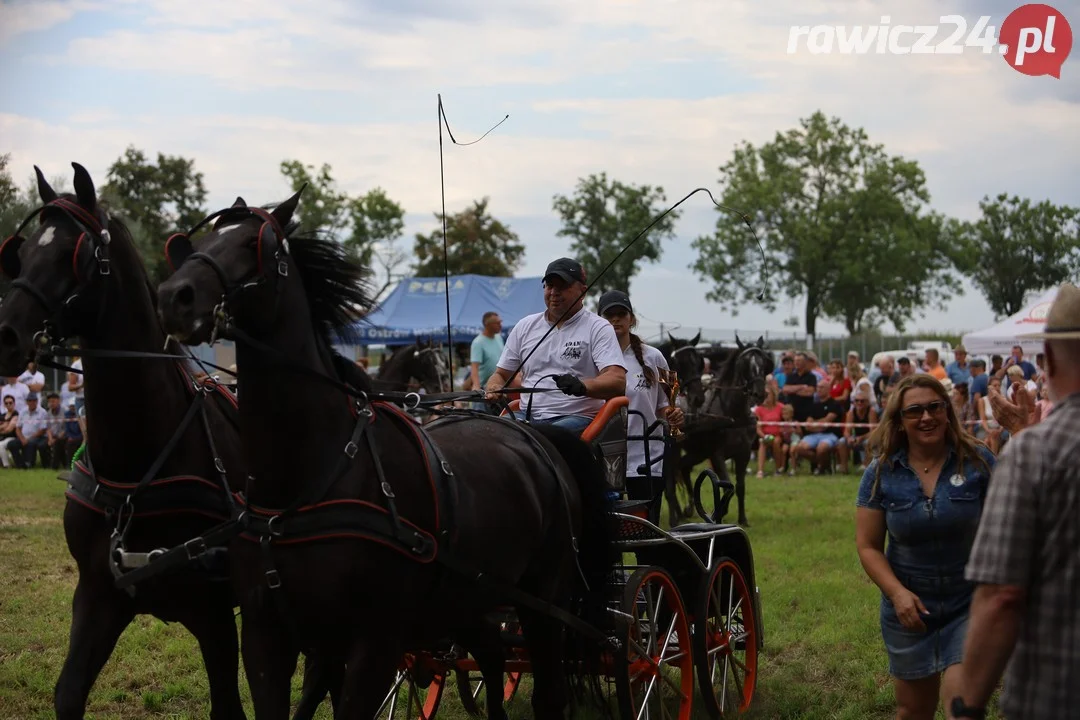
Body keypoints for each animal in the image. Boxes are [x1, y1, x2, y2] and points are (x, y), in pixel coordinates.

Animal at [154, 191, 617, 720]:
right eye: (200, 241)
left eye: (256, 244)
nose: (173, 296)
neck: (305, 483)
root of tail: (532, 433)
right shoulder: (266, 638)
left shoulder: (372, 644)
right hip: (471, 596)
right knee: (493, 653)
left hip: (544, 598)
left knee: (548, 689)